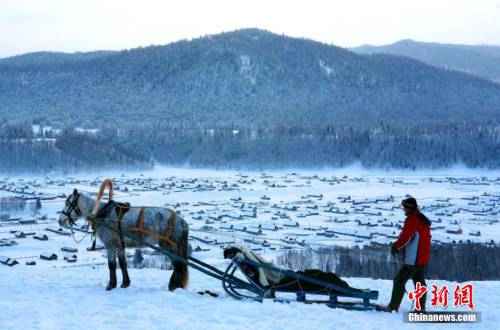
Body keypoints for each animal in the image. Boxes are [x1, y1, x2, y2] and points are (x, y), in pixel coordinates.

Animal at [58, 188, 189, 292]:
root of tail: (181, 221)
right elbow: (122, 264)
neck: (103, 214)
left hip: (168, 246)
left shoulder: (110, 245)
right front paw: (125, 283)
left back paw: (174, 286)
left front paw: (110, 285)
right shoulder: (119, 246)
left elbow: (112, 265)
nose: (60, 221)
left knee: (177, 265)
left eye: (67, 203)